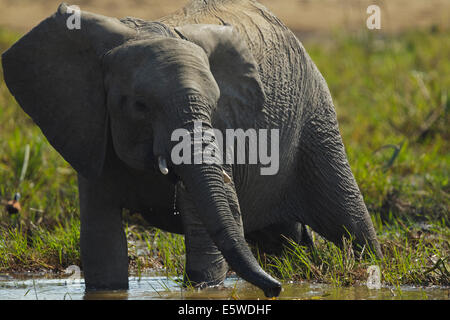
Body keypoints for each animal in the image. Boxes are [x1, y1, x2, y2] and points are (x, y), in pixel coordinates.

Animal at [2, 0, 384, 298]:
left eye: (215, 103)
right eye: (139, 105)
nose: (274, 290)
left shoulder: (221, 132)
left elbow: (205, 237)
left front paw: (204, 289)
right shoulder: (90, 128)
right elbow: (102, 245)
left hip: (316, 121)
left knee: (350, 218)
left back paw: (369, 270)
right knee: (282, 238)